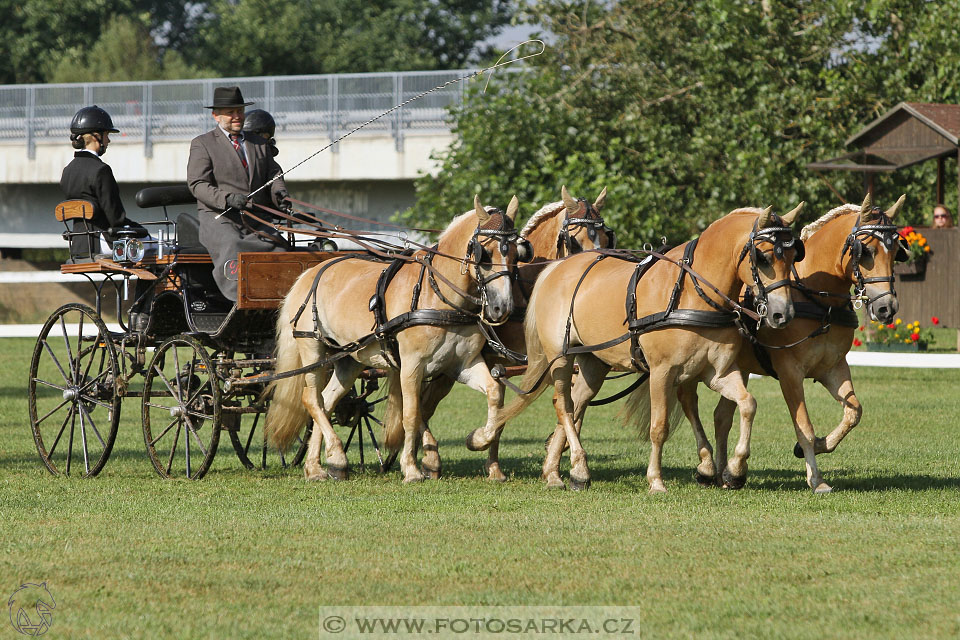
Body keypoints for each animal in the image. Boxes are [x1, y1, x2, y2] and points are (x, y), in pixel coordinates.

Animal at [264, 192, 524, 482]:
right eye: (485, 254)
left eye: (516, 253)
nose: (502, 308)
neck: (438, 296)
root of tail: (309, 273)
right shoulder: (411, 365)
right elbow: (410, 414)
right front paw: (411, 468)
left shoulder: (462, 364)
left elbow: (494, 393)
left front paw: (478, 439)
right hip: (313, 349)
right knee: (311, 399)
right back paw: (333, 455)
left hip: (349, 359)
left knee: (327, 401)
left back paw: (322, 464)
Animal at [414, 182, 616, 478]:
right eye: (574, 241)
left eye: (606, 237)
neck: (528, 291)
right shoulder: (502, 361)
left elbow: (571, 404)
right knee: (421, 403)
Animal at [480, 202, 804, 492]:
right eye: (763, 257)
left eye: (793, 255)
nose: (783, 314)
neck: (691, 292)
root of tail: (557, 268)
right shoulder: (662, 372)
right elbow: (659, 427)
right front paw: (656, 481)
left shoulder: (717, 373)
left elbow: (748, 404)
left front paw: (734, 470)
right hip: (560, 359)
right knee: (564, 405)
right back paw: (575, 468)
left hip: (592, 364)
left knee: (575, 404)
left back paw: (564, 472)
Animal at [692, 192, 904, 492]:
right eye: (866, 251)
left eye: (896, 251)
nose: (887, 308)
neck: (816, 300)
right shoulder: (789, 372)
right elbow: (804, 424)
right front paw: (816, 479)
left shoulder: (833, 367)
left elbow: (854, 413)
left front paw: (818, 445)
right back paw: (710, 468)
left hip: (736, 369)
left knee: (722, 416)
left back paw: (727, 472)